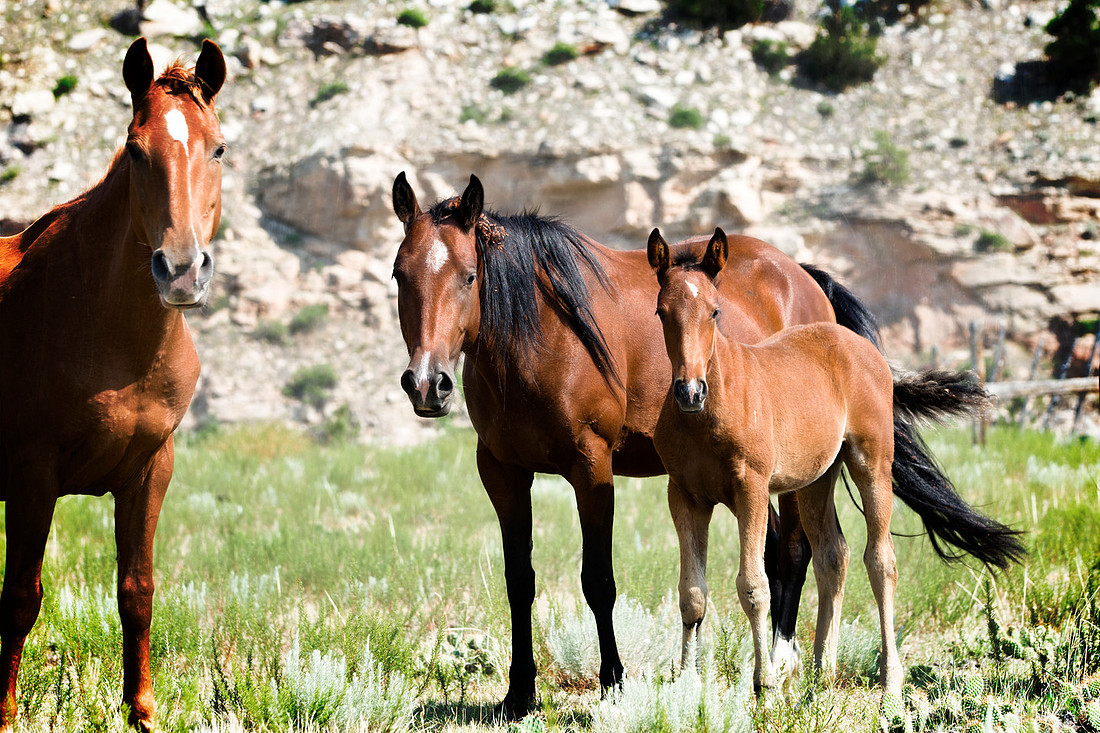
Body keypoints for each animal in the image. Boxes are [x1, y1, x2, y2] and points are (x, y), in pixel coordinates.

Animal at [0, 38, 226, 731]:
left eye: (218, 148)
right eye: (134, 149)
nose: (181, 270)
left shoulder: (150, 470)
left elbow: (137, 591)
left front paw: (142, 710)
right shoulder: (32, 473)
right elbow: (20, 597)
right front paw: (4, 712)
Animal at [390, 172, 904, 715]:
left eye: (469, 276)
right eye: (399, 276)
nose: (427, 384)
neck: (536, 340)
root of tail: (803, 276)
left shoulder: (591, 467)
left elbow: (598, 580)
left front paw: (613, 681)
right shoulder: (502, 472)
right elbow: (519, 580)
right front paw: (520, 691)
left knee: (795, 553)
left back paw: (783, 663)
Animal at [647, 227, 1025, 694]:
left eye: (716, 311)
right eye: (661, 312)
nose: (689, 391)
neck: (712, 407)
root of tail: (858, 344)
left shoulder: (750, 488)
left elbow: (753, 587)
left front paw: (764, 684)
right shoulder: (685, 495)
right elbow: (692, 593)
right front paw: (685, 683)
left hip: (872, 463)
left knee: (880, 560)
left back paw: (889, 677)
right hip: (816, 479)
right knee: (832, 554)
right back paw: (821, 671)